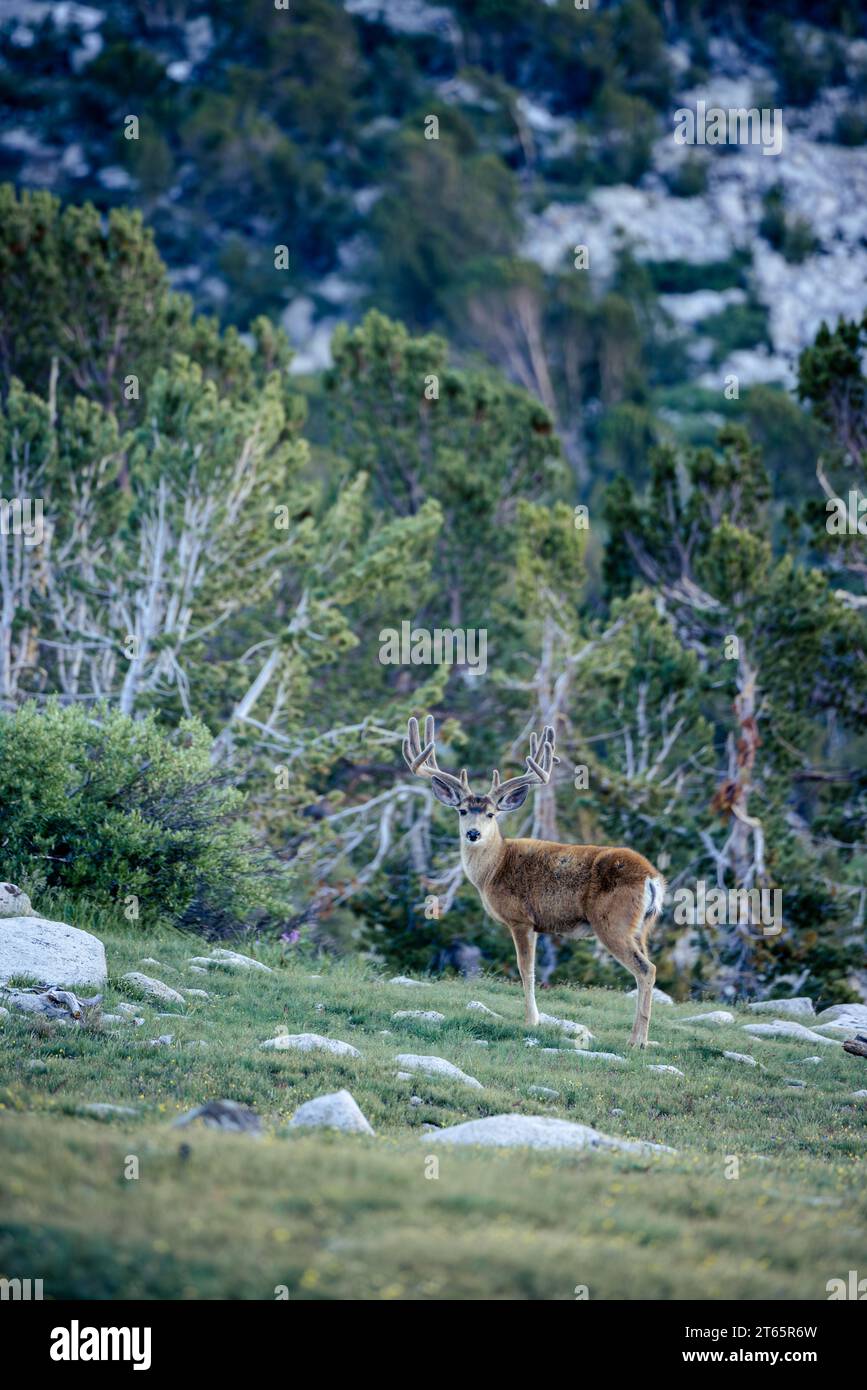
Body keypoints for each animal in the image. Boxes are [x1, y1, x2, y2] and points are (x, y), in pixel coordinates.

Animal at [402, 711, 666, 1045]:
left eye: (491, 814)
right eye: (462, 810)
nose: (472, 833)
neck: (494, 868)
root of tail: (651, 878)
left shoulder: (520, 918)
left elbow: (525, 969)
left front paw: (531, 1021)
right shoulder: (537, 925)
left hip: (613, 922)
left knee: (646, 969)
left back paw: (637, 1041)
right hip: (643, 927)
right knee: (649, 966)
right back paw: (642, 1038)